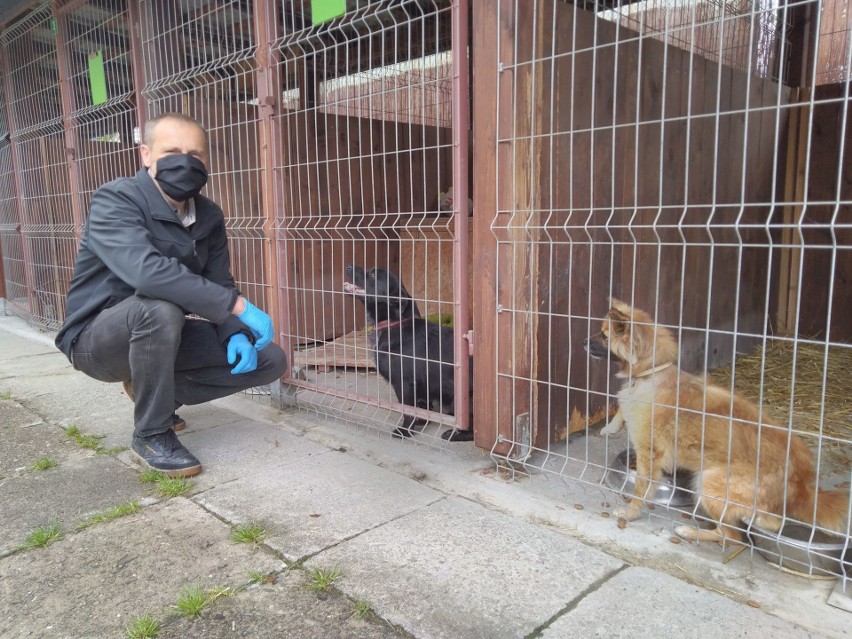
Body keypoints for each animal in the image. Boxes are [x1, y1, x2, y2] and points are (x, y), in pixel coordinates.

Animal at [346, 262, 480, 442]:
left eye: (373, 274)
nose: (348, 266)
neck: (393, 324)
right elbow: (421, 406)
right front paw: (421, 421)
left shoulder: (404, 383)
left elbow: (408, 411)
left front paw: (405, 431)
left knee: (475, 431)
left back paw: (454, 434)